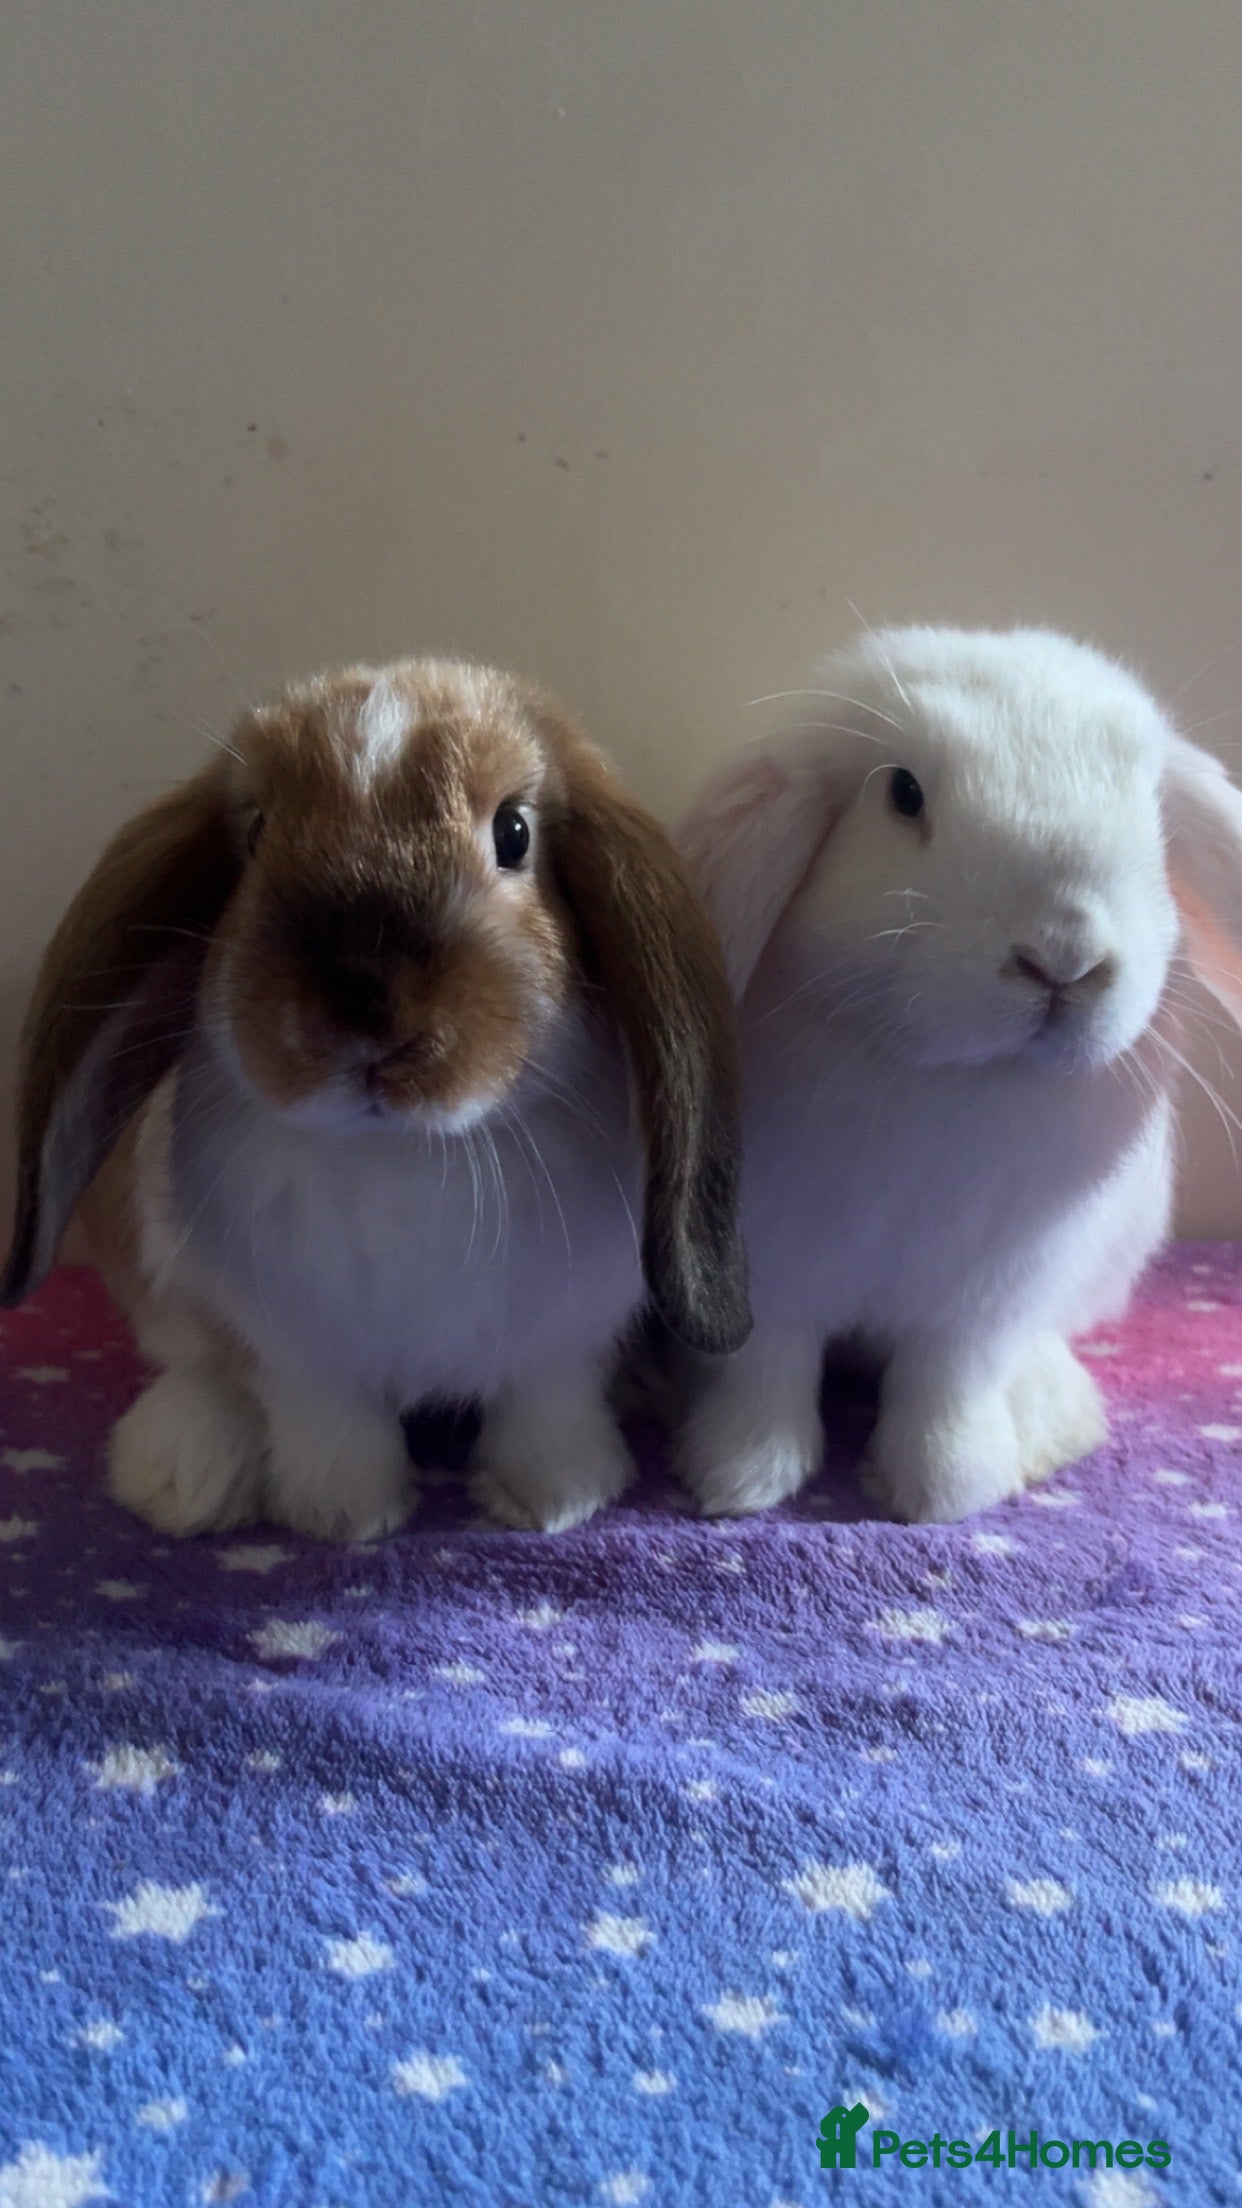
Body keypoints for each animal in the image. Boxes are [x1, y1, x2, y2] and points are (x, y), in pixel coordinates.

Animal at [1, 657, 750, 1541]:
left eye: (514, 834)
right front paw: (346, 1517)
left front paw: (551, 1500)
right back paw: (184, 1474)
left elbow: (546, 1410)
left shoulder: (560, 1343)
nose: (360, 999)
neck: (402, 1153)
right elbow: (327, 1424)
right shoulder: (297, 1352)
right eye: (255, 834)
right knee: (194, 1366)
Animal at [674, 624, 1242, 1524]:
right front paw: (738, 1483)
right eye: (902, 794)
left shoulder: (982, 1302)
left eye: (1153, 809)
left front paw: (942, 1491)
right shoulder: (770, 1274)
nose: (1062, 957)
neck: (953, 1079)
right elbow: (764, 1379)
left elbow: (946, 1388)